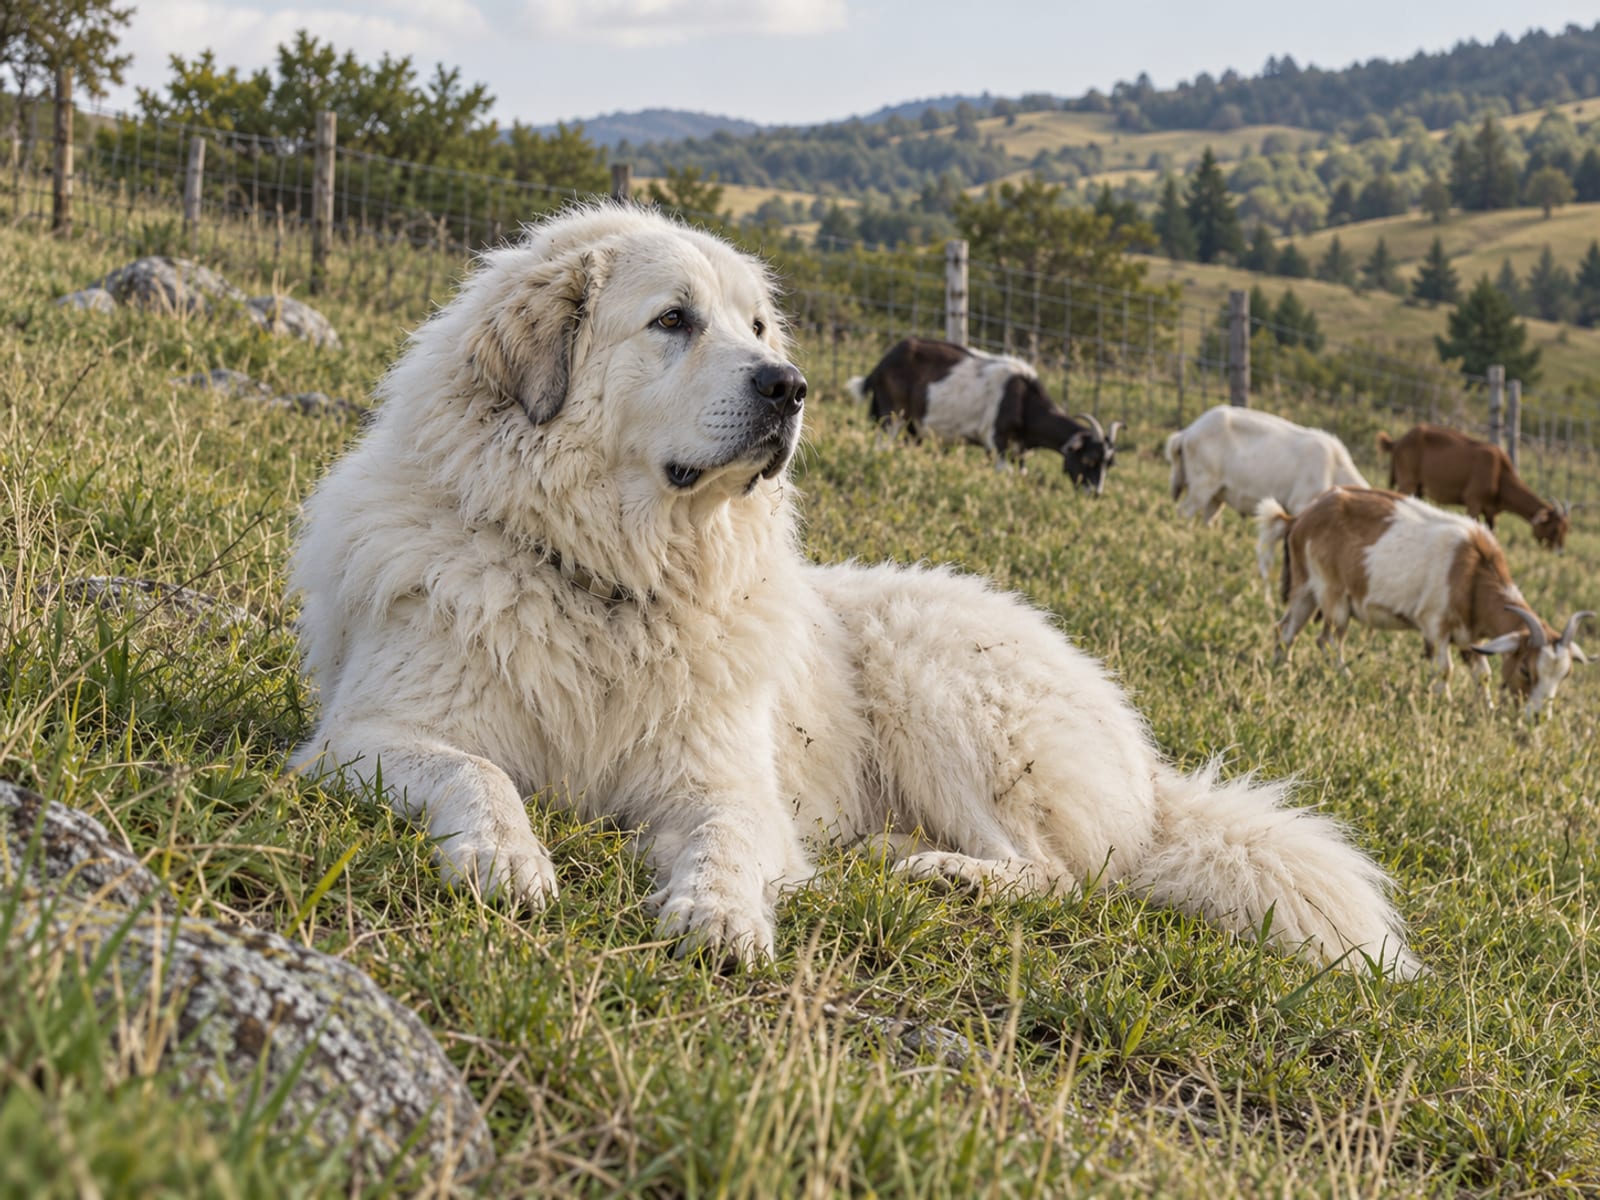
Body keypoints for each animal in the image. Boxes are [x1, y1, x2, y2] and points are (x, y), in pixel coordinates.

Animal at [847, 337, 1121, 493]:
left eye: (1109, 463)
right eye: (1089, 459)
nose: (1095, 494)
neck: (1023, 400)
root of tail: (881, 364)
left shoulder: (1020, 451)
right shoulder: (998, 442)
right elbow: (1004, 474)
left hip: (914, 427)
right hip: (892, 414)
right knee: (883, 444)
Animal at [1256, 487, 1591, 717]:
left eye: (1565, 675)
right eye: (1526, 670)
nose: (1538, 718)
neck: (1471, 571)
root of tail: (1300, 517)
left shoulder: (1470, 636)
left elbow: (1483, 673)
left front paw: (1488, 709)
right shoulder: (1435, 624)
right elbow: (1445, 669)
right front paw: (1445, 703)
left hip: (1305, 588)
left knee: (1285, 630)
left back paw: (1281, 669)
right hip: (1334, 595)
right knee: (1327, 639)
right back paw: (1345, 678)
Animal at [1377, 424, 1569, 550]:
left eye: (1566, 529)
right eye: (1554, 529)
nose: (1559, 551)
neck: (1499, 473)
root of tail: (1399, 441)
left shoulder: (1492, 513)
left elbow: (1492, 533)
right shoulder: (1473, 502)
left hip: (1418, 489)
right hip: (1407, 483)